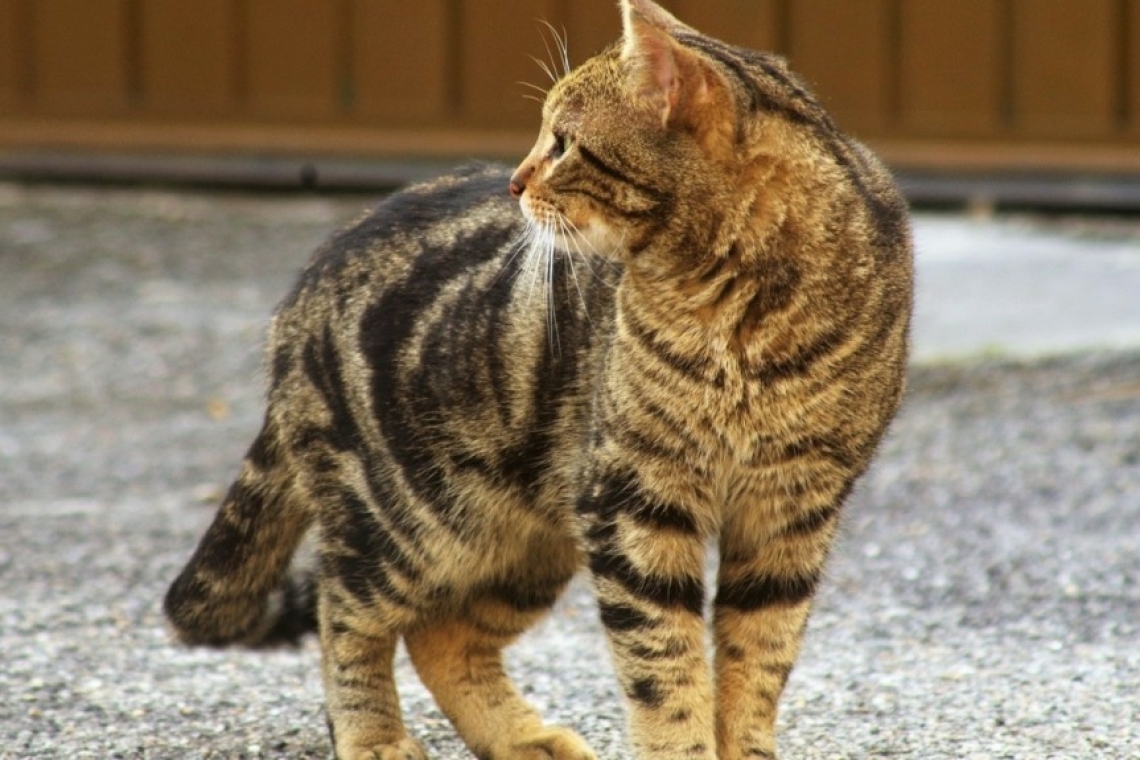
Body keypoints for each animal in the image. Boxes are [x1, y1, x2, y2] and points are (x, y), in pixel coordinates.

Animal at [165, 1, 912, 760]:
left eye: (562, 143)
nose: (515, 182)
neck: (739, 315)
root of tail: (303, 284)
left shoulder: (791, 512)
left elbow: (756, 664)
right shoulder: (637, 503)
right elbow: (665, 669)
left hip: (532, 537)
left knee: (439, 633)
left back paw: (522, 738)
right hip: (412, 522)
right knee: (345, 612)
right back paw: (373, 735)